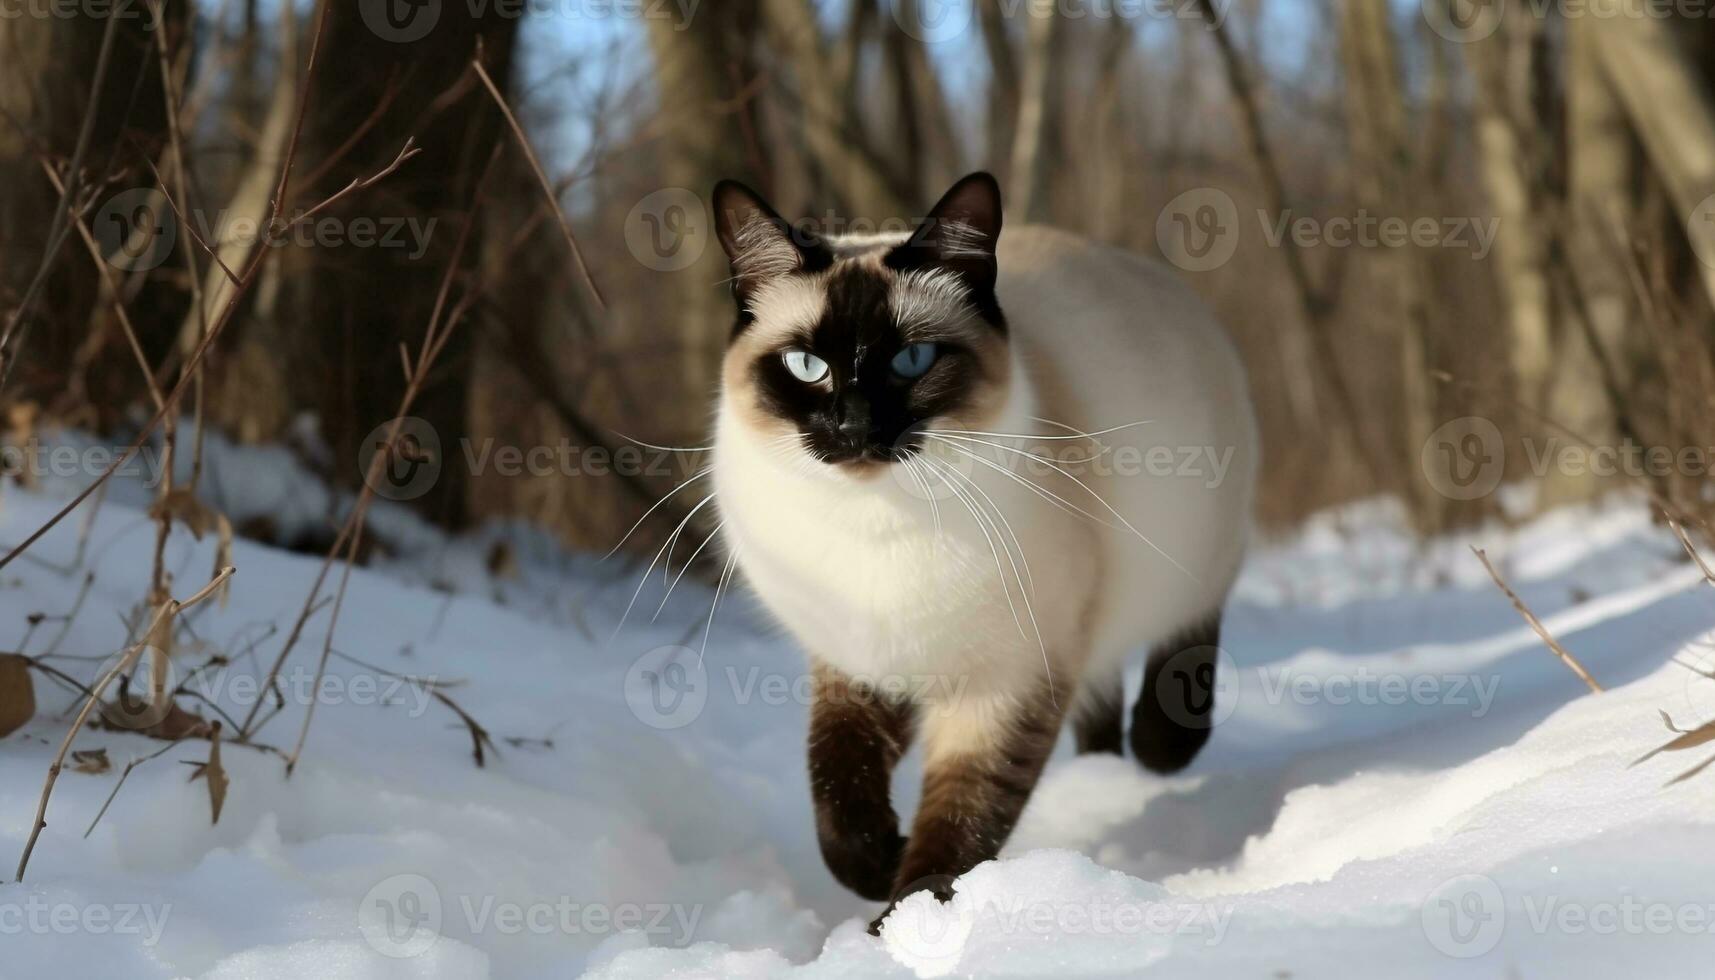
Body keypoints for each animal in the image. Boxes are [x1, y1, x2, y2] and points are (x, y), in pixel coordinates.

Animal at [703, 172, 1255, 933]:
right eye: (807, 367)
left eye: (910, 361)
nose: (853, 428)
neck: (877, 525)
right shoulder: (858, 666)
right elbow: (836, 793)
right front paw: (878, 866)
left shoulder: (1005, 681)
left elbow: (961, 821)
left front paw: (905, 925)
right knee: (1101, 691)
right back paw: (1103, 775)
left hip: (1187, 553)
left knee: (1185, 633)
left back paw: (1157, 748)